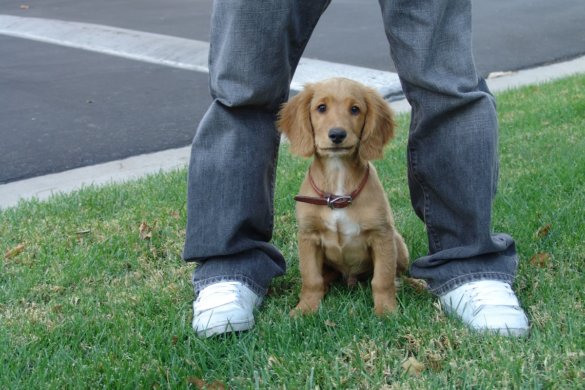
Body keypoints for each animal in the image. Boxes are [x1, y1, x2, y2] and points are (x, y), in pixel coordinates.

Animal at [278, 77, 406, 316]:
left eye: (355, 109)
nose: (337, 135)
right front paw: (305, 309)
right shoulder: (308, 237)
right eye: (321, 108)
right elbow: (311, 279)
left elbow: (382, 278)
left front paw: (386, 311)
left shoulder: (382, 235)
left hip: (398, 244)